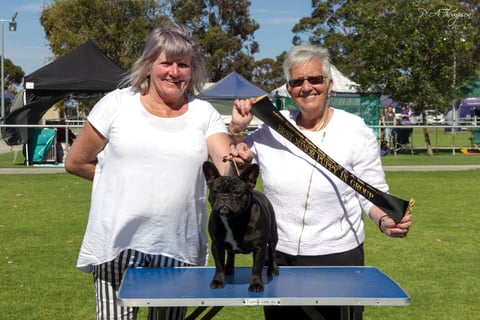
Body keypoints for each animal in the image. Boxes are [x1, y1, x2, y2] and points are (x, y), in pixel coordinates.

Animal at [202, 160, 278, 292]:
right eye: (215, 192)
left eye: (236, 193)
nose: (224, 197)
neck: (233, 219)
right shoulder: (217, 245)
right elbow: (219, 265)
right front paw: (218, 280)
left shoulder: (260, 247)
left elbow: (256, 267)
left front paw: (256, 284)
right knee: (230, 254)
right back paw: (228, 268)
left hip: (273, 236)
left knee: (272, 251)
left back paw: (272, 269)